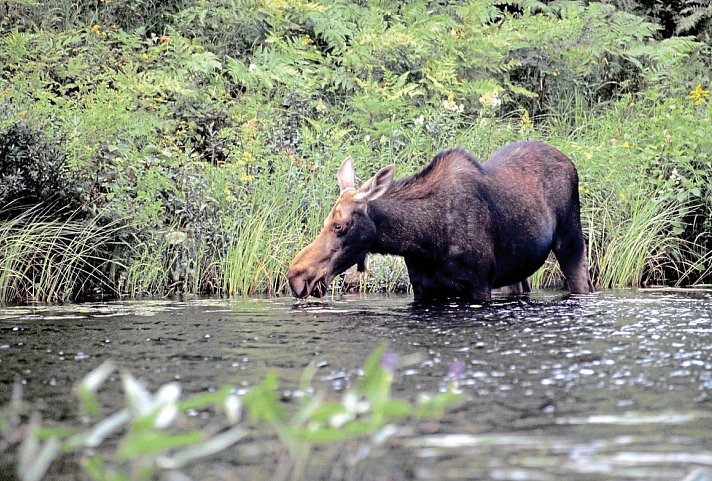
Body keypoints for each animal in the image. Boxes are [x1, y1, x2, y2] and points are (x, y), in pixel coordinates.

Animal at [286, 139, 592, 300]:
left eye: (339, 226)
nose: (295, 275)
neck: (422, 240)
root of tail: (569, 161)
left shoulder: (480, 284)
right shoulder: (424, 288)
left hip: (571, 241)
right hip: (516, 271)